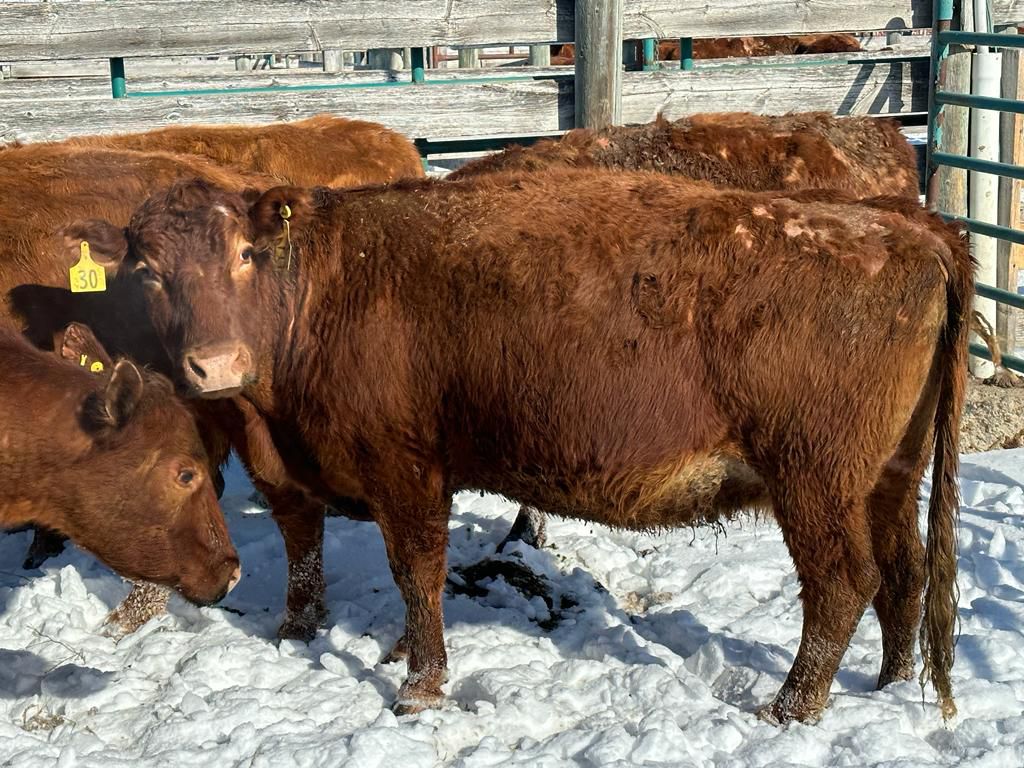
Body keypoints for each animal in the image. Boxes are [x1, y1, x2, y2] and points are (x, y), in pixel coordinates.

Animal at [74, 170, 970, 724]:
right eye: (148, 271)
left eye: (244, 254)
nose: (216, 365)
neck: (327, 290)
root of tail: (901, 223)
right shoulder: (297, 471)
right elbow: (306, 546)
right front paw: (303, 633)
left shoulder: (407, 470)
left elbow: (417, 571)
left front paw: (420, 685)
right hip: (888, 477)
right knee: (904, 573)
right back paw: (887, 686)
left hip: (814, 479)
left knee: (843, 582)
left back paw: (790, 708)